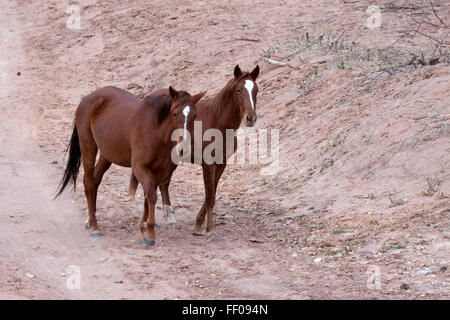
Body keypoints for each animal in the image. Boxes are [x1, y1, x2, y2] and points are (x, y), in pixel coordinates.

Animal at [54, 84, 206, 245]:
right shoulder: (139, 167)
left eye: (195, 116)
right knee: (88, 183)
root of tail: (88, 98)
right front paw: (150, 233)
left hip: (107, 155)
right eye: (175, 114)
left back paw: (89, 220)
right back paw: (94, 226)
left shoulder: (158, 170)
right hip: (88, 148)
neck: (156, 130)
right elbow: (151, 196)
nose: (184, 148)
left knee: (95, 182)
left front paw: (143, 227)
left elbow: (148, 197)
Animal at [128, 65, 258, 239]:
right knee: (159, 184)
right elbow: (210, 197)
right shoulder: (208, 165)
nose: (251, 118)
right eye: (238, 90)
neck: (218, 123)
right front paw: (210, 229)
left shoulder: (221, 164)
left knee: (163, 183)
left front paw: (198, 224)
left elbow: (212, 193)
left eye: (256, 90)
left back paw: (169, 218)